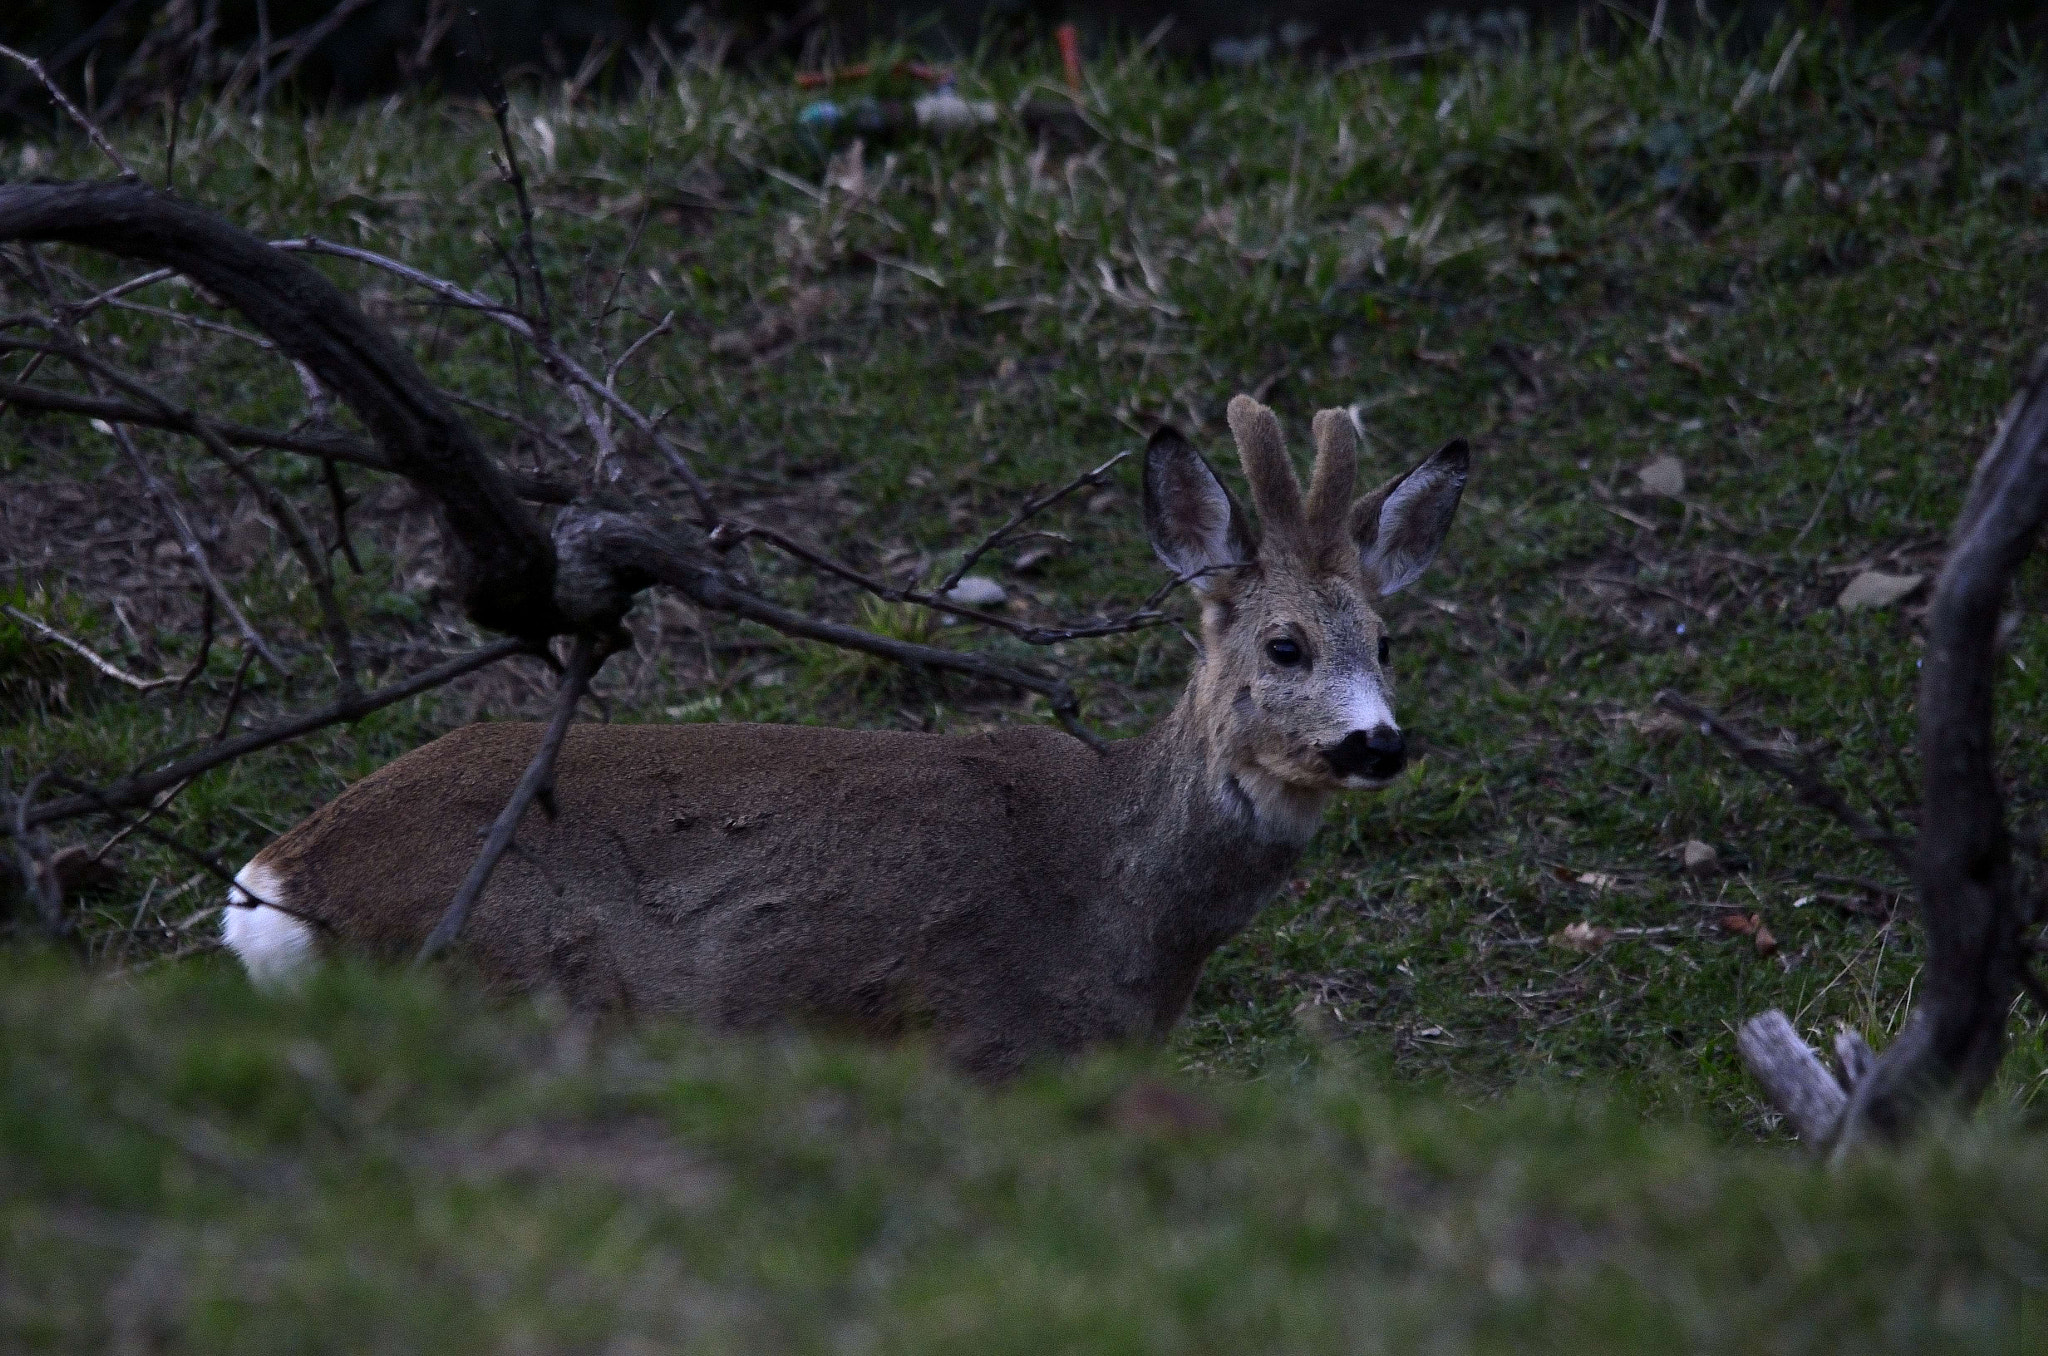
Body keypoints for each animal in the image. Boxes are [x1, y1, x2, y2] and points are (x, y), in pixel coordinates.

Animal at [224, 395, 1466, 1081]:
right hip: (511, 980)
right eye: (1284, 645)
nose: (1378, 743)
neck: (1110, 890)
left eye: (1386, 641)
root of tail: (271, 884)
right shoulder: (976, 1037)